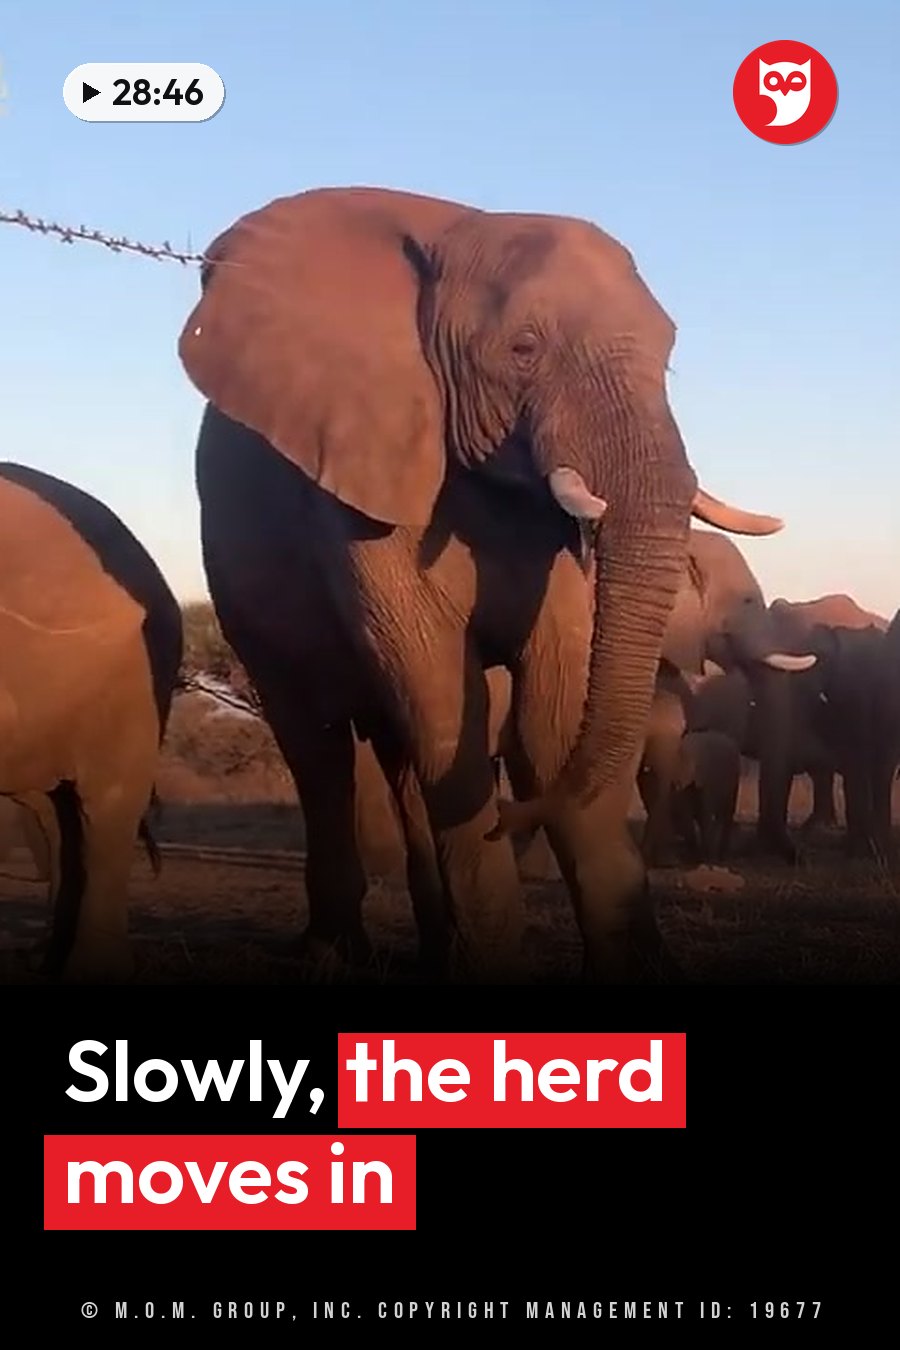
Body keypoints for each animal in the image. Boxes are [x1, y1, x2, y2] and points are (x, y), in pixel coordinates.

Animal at [178, 185, 784, 983]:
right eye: (523, 349)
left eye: (670, 356)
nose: (512, 817)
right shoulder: (364, 470)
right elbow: (441, 700)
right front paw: (493, 959)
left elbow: (550, 713)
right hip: (243, 601)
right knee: (319, 748)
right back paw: (334, 955)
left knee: (398, 756)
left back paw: (436, 951)